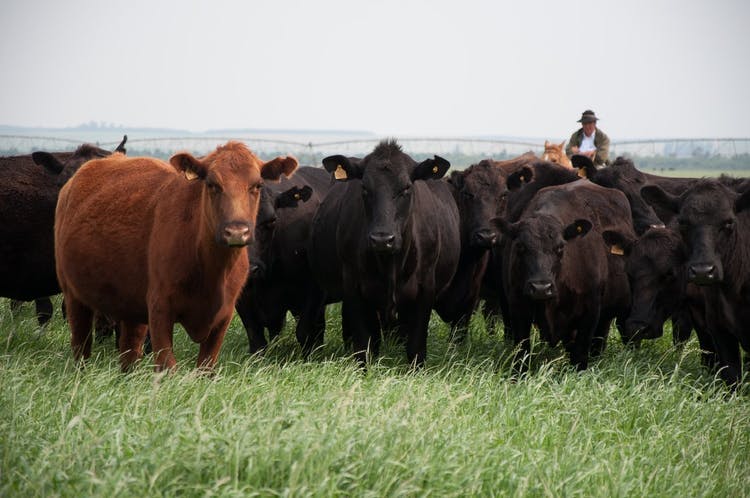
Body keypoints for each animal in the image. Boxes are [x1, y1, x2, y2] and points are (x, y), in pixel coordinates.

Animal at [54, 142, 300, 372]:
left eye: (257, 185)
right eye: (212, 184)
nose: (237, 231)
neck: (210, 269)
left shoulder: (223, 316)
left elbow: (206, 368)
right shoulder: (160, 310)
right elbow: (167, 366)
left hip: (131, 307)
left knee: (129, 351)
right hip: (74, 296)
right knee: (81, 346)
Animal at [308, 140, 462, 366]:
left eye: (406, 187)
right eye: (364, 188)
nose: (382, 239)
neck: (390, 265)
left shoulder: (425, 289)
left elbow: (416, 348)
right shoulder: (354, 287)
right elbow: (363, 344)